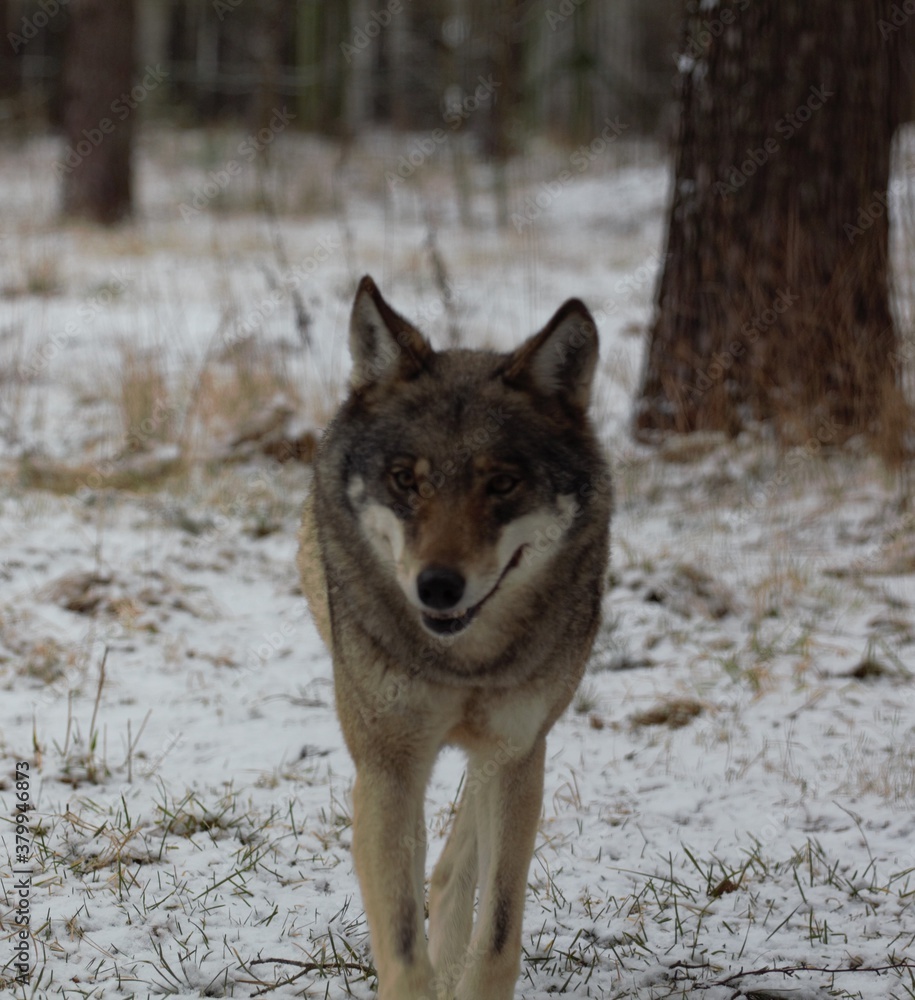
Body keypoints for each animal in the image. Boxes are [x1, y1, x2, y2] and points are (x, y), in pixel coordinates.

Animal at [297, 276, 611, 1000]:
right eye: (405, 480)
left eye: (502, 483)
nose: (437, 587)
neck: (463, 663)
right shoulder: (387, 765)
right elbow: (401, 947)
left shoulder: (516, 750)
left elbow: (496, 933)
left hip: (520, 745)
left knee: (453, 861)